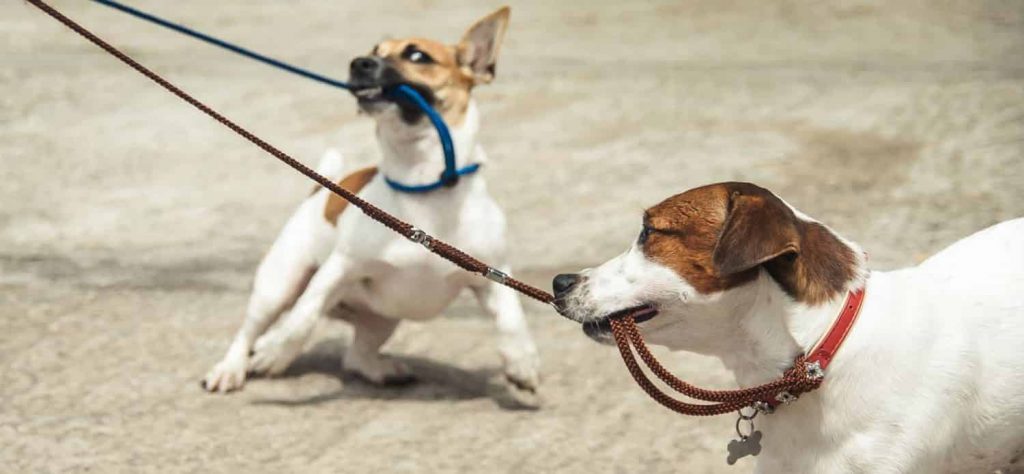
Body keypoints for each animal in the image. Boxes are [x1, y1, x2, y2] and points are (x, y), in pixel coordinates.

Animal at [196, 6, 540, 393]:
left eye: (417, 55)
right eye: (375, 50)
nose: (359, 62)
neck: (423, 187)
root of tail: (318, 192)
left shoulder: (493, 274)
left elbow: (512, 320)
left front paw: (522, 363)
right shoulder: (339, 268)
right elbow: (303, 316)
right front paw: (276, 350)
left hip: (383, 319)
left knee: (356, 354)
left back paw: (380, 369)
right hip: (278, 285)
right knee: (254, 330)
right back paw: (235, 366)